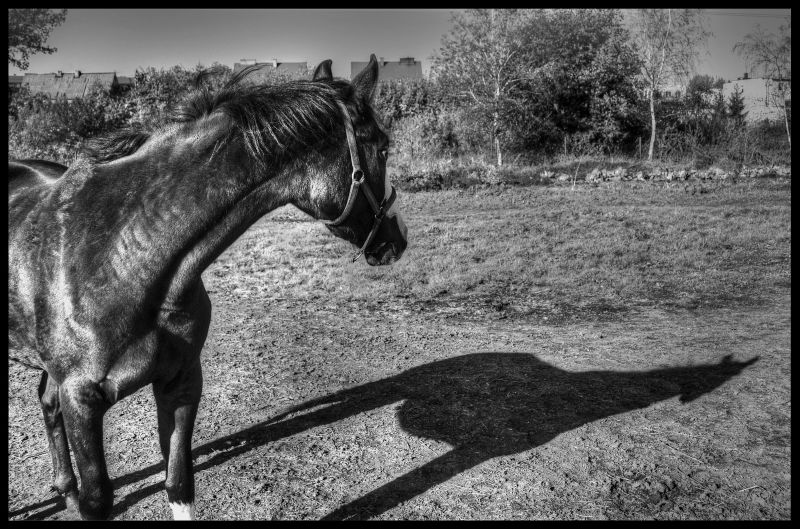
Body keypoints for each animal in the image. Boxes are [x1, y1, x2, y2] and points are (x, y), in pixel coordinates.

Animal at [6, 54, 406, 520]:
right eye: (383, 147)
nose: (397, 240)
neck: (121, 255)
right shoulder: (82, 402)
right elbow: (98, 498)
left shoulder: (181, 382)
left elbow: (179, 482)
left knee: (46, 402)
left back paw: (64, 488)